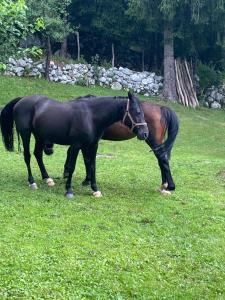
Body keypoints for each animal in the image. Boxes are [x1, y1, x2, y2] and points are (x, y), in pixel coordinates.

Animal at [0, 92, 149, 198]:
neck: (91, 116)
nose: (145, 133)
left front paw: (95, 189)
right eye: (137, 112)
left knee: (38, 155)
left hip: (39, 136)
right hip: (26, 134)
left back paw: (47, 178)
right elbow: (71, 167)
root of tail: (22, 100)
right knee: (27, 156)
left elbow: (92, 166)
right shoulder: (76, 145)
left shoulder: (93, 145)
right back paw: (32, 182)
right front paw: (69, 190)